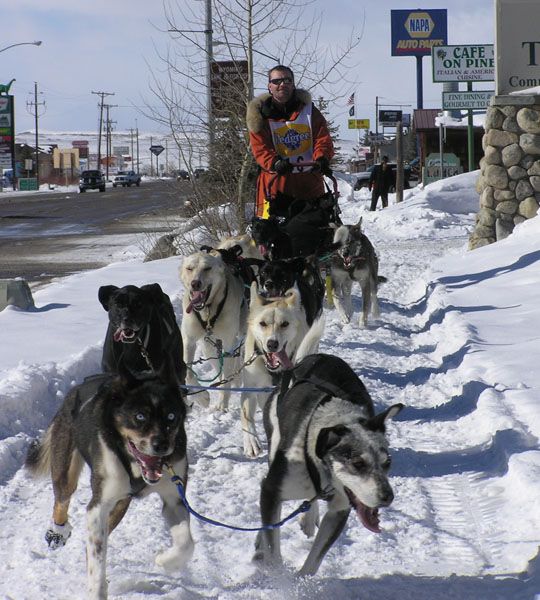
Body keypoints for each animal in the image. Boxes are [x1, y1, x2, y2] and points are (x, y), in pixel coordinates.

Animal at [181, 247, 249, 408]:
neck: (207, 311)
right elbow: (188, 373)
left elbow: (226, 374)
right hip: (208, 346)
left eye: (207, 268)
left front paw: (223, 404)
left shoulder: (228, 343)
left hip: (242, 333)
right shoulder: (189, 340)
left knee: (239, 355)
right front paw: (202, 398)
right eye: (189, 268)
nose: (195, 283)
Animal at [242, 284, 324, 458]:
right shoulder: (249, 387)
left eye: (285, 324)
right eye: (262, 323)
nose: (272, 343)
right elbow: (246, 415)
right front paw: (251, 442)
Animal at [255, 354, 402, 576]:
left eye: (388, 462)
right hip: (274, 442)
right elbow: (273, 552)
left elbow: (312, 564)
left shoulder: (339, 511)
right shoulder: (271, 491)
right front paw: (279, 579)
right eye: (358, 463)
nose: (387, 497)